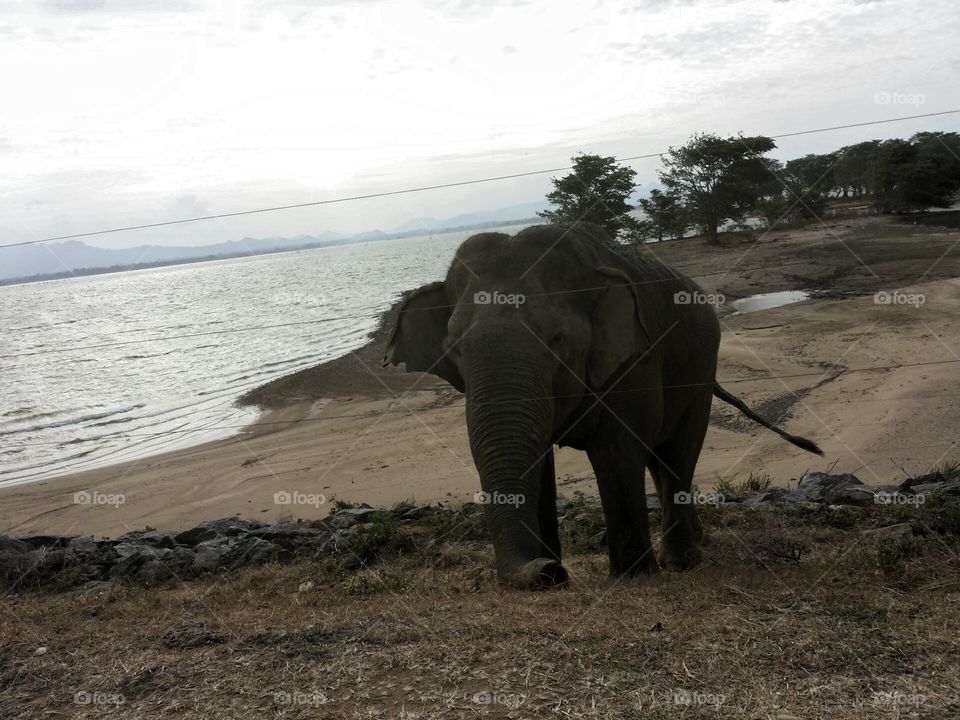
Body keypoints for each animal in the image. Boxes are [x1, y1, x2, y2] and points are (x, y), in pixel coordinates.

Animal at [386, 222, 820, 588]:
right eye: (453, 348)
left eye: (557, 339)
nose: (547, 571)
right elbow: (539, 460)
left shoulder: (634, 361)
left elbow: (616, 451)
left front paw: (632, 576)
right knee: (659, 457)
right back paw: (697, 541)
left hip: (701, 365)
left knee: (679, 451)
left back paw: (682, 561)